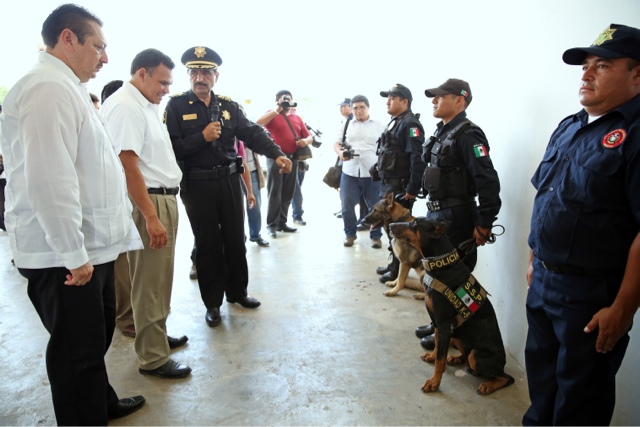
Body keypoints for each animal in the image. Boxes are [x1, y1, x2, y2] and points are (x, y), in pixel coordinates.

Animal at [388, 219, 512, 396]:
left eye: (415, 223)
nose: (390, 226)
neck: (441, 266)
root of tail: (503, 362)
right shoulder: (438, 323)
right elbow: (438, 346)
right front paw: (432, 357)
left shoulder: (444, 324)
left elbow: (440, 360)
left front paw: (434, 382)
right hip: (457, 337)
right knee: (467, 356)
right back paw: (457, 358)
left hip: (477, 355)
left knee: (505, 377)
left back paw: (488, 385)